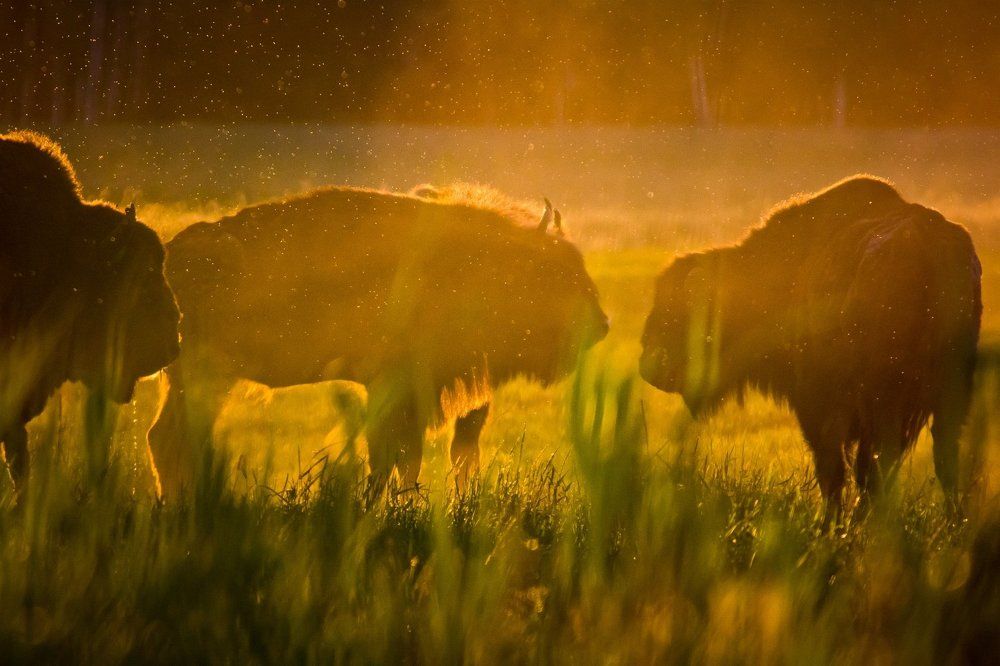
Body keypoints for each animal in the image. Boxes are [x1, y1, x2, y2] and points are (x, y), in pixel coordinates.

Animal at [148, 185, 607, 495]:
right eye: (552, 270)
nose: (600, 324)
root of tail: (171, 254)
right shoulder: (395, 387)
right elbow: (392, 455)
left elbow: (413, 456)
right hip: (202, 376)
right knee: (173, 440)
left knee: (168, 440)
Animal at [640, 176, 981, 513]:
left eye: (678, 311)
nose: (649, 364)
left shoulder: (818, 405)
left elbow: (833, 469)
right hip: (948, 397)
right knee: (940, 459)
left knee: (875, 466)